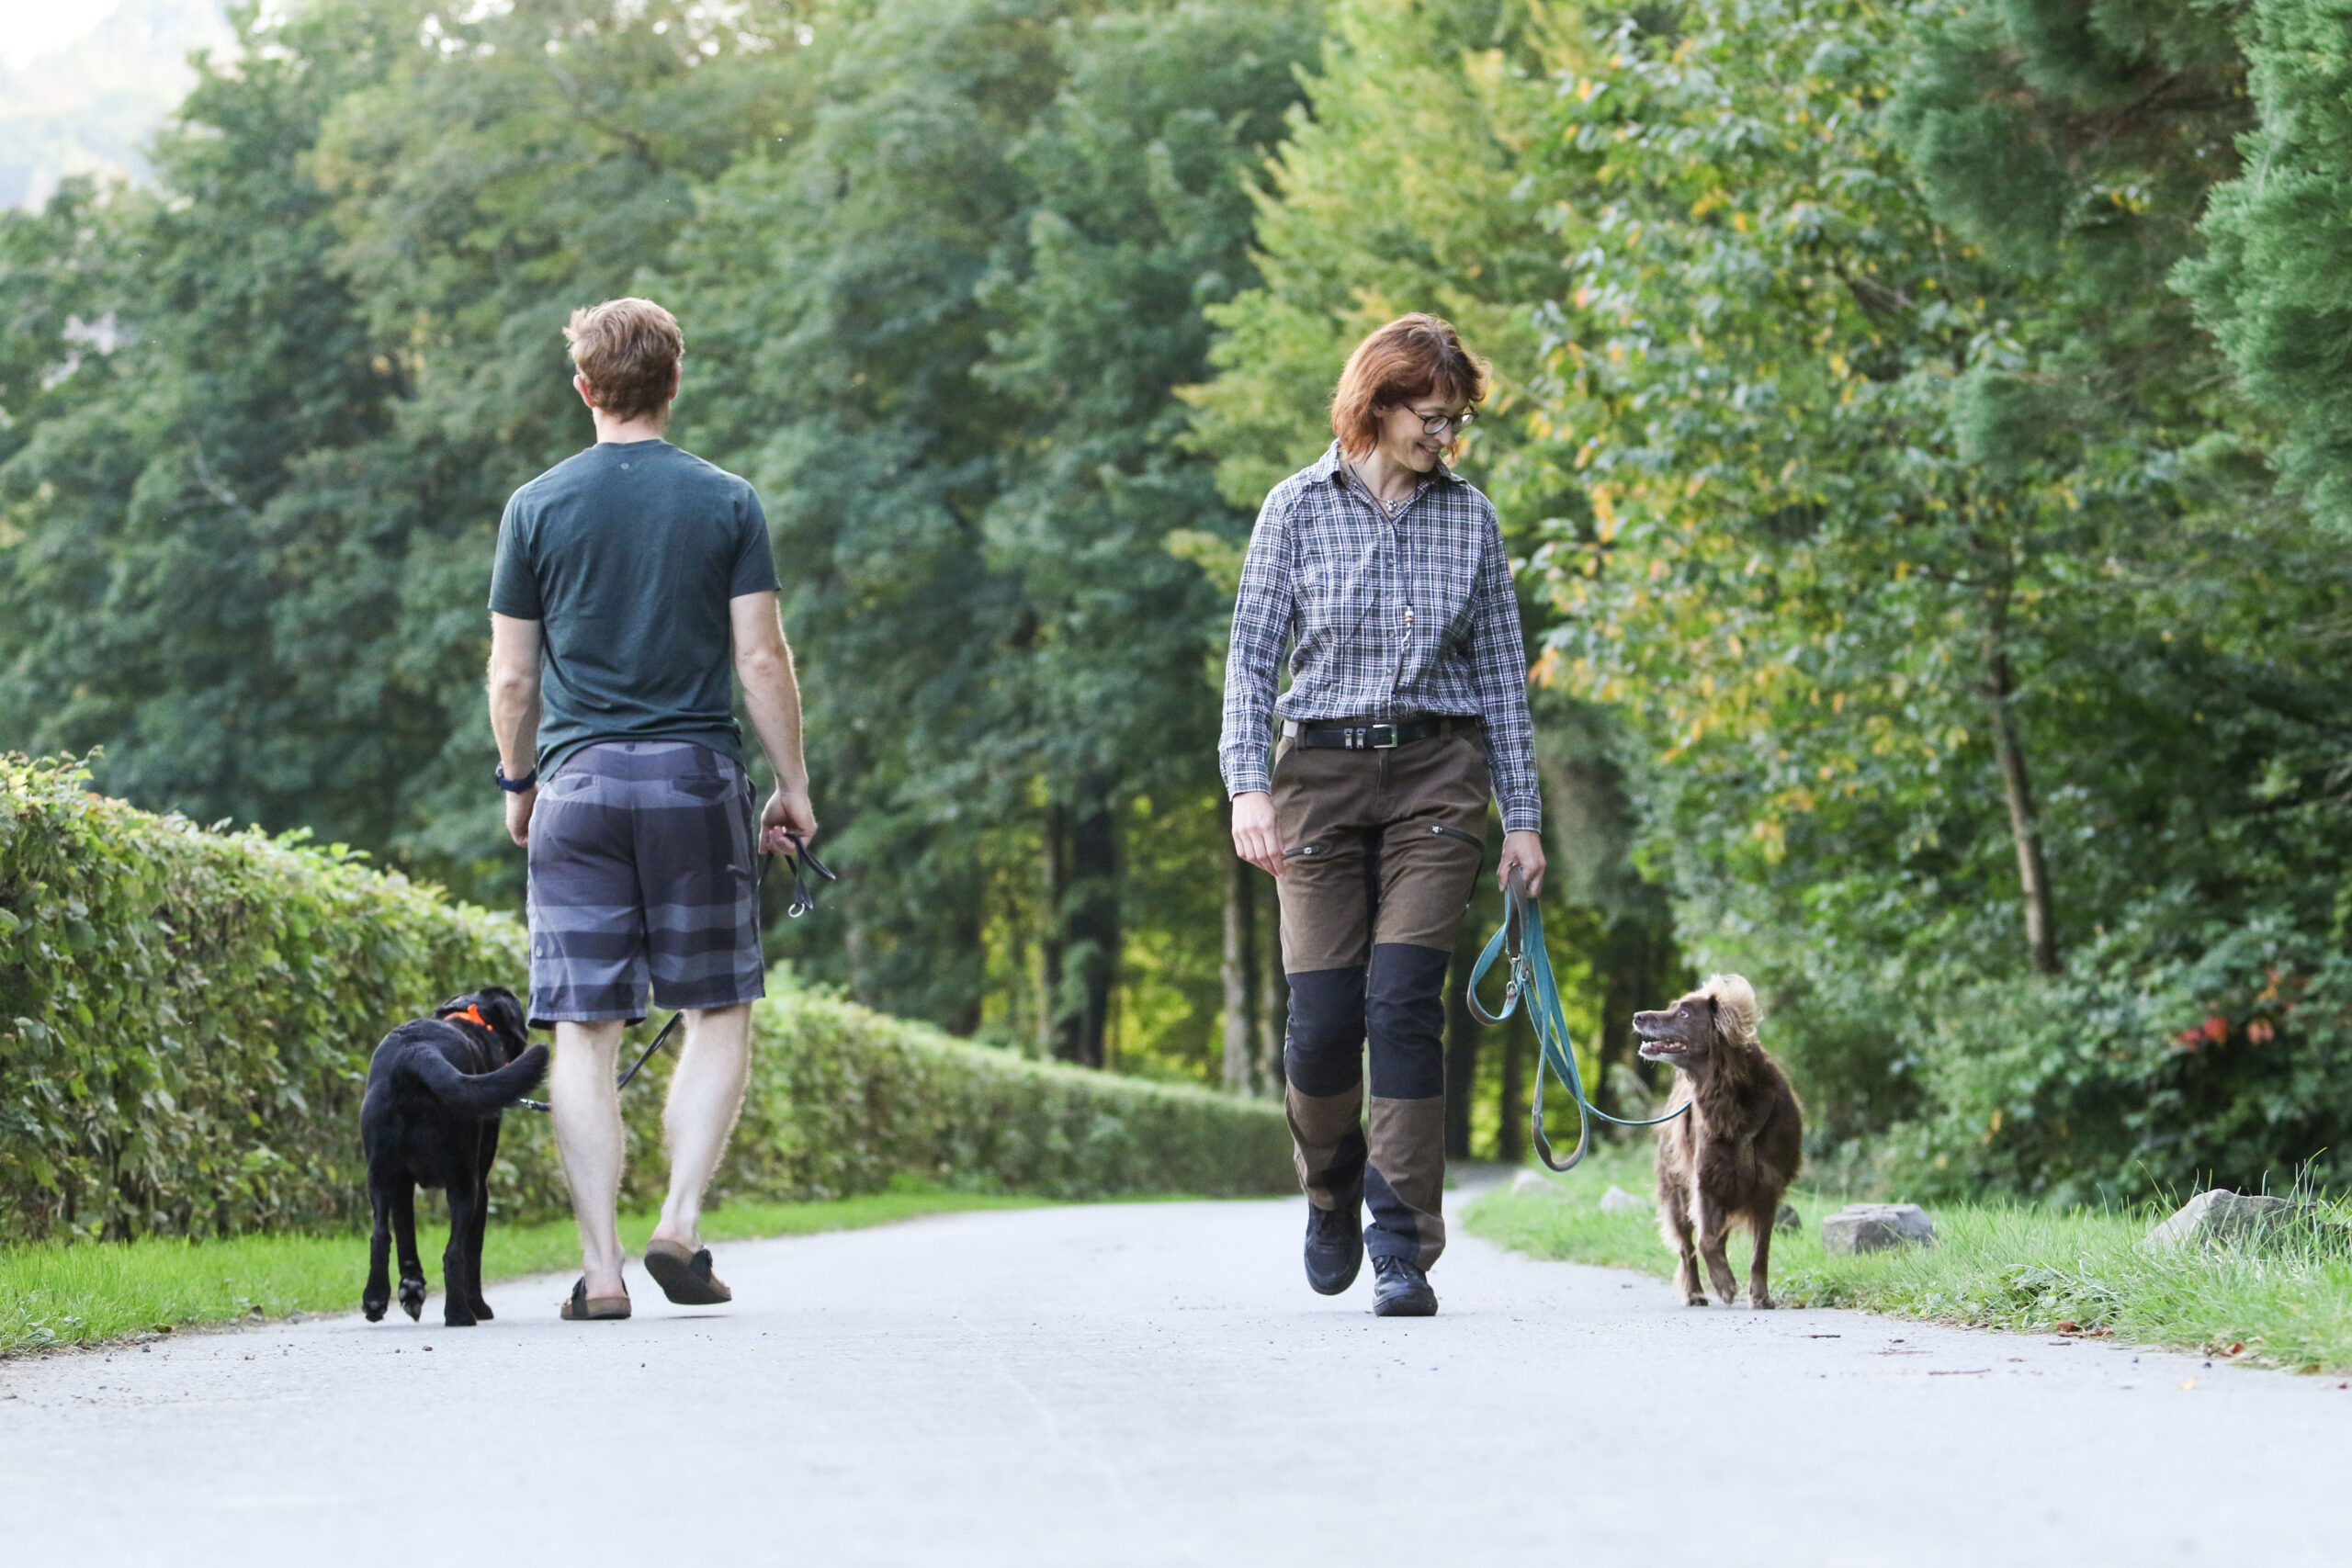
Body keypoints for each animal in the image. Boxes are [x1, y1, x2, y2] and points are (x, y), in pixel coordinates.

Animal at [359, 987, 548, 1335]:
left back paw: (376, 1299)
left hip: (380, 1173)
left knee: (380, 1236)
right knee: (454, 1252)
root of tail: (416, 1051)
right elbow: (474, 1252)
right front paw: (478, 1305)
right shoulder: (481, 1187)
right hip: (464, 1182)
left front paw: (412, 1288)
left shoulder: (404, 1185)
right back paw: (461, 1313)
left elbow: (405, 1235)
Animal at [1636, 973, 1796, 1306]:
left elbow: (1759, 1252)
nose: (1637, 1016)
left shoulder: (1767, 1188)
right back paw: (1696, 1292)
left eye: (1684, 1013)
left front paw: (1760, 1296)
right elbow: (1704, 1241)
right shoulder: (1706, 1182)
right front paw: (1724, 1283)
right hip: (1677, 1191)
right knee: (1688, 1247)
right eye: (1672, 1007)